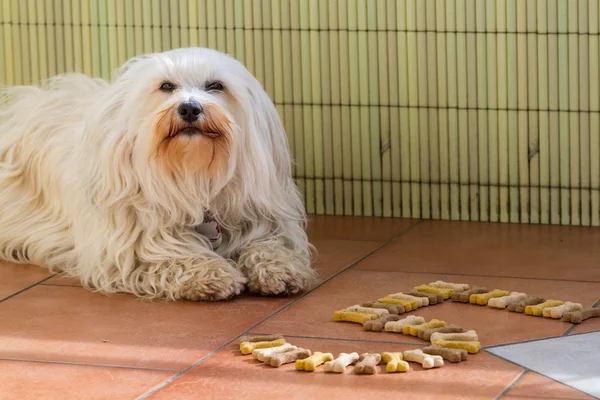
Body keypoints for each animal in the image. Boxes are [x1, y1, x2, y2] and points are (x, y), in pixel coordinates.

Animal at [0, 47, 318, 300]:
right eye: (166, 86)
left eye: (216, 85)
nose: (189, 108)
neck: (193, 173)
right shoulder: (132, 239)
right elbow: (171, 255)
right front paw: (212, 275)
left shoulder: (254, 214)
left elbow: (270, 244)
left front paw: (279, 269)